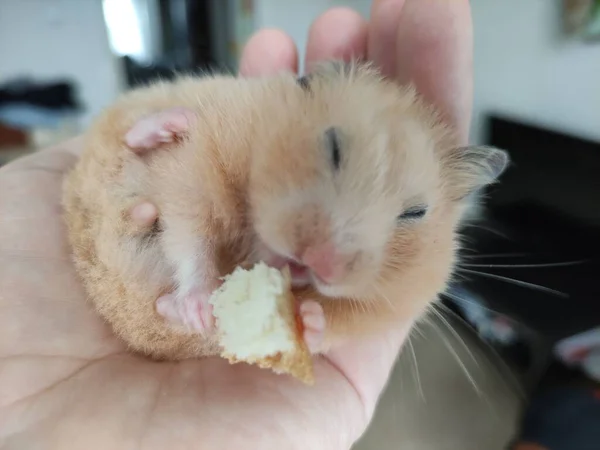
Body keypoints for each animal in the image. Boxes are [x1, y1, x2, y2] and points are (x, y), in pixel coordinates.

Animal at [63, 61, 508, 360]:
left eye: (416, 214)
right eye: (332, 147)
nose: (320, 261)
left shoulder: (383, 308)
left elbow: (334, 324)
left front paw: (309, 320)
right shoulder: (194, 167)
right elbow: (192, 236)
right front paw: (200, 309)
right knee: (131, 134)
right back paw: (169, 123)